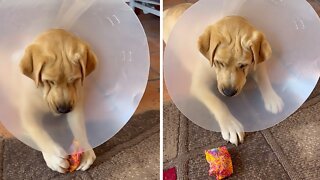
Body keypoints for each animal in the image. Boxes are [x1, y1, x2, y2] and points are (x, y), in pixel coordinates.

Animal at [19, 29, 97, 173]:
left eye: (74, 80)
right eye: (50, 81)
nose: (64, 110)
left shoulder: (75, 102)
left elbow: (79, 126)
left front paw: (86, 150)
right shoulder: (27, 114)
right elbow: (38, 132)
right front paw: (54, 157)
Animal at [164, 3, 284, 145]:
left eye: (243, 65)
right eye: (218, 62)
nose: (229, 92)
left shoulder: (256, 65)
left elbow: (263, 78)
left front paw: (272, 98)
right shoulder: (198, 85)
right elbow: (217, 102)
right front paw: (230, 124)